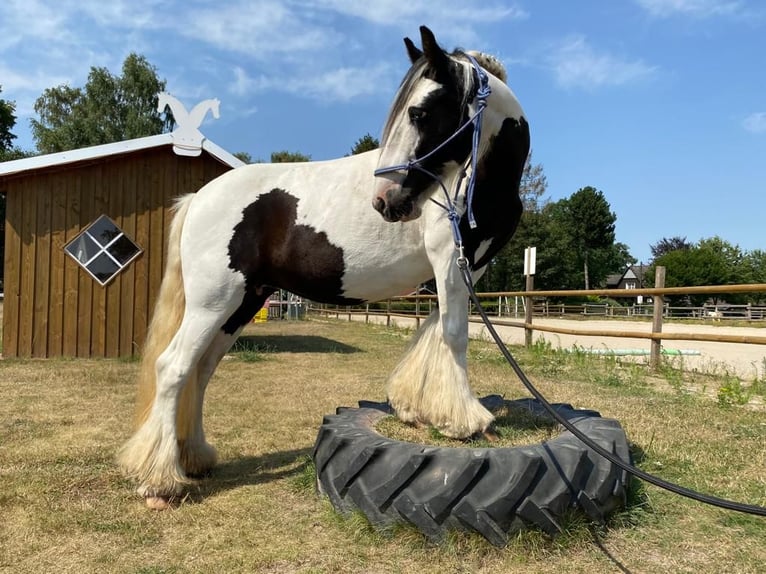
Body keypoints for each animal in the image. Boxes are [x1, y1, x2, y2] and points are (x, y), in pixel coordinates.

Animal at [118, 25, 528, 508]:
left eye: (420, 113)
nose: (384, 201)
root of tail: (198, 198)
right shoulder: (449, 260)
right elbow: (454, 334)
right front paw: (465, 421)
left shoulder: (469, 266)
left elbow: (433, 331)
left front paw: (419, 409)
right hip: (212, 304)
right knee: (173, 368)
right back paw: (159, 481)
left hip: (240, 304)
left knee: (200, 372)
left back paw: (195, 457)